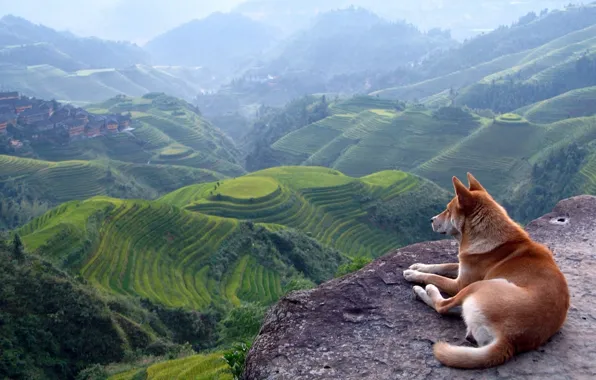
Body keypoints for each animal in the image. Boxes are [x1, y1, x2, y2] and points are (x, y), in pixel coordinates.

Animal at [402, 173, 572, 368]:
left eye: (447, 210)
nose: (431, 219)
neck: (488, 234)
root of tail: (509, 340)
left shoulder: (460, 283)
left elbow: (435, 276)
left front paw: (414, 274)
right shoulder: (463, 266)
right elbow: (443, 265)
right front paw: (418, 265)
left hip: (480, 286)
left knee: (443, 306)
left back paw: (424, 290)